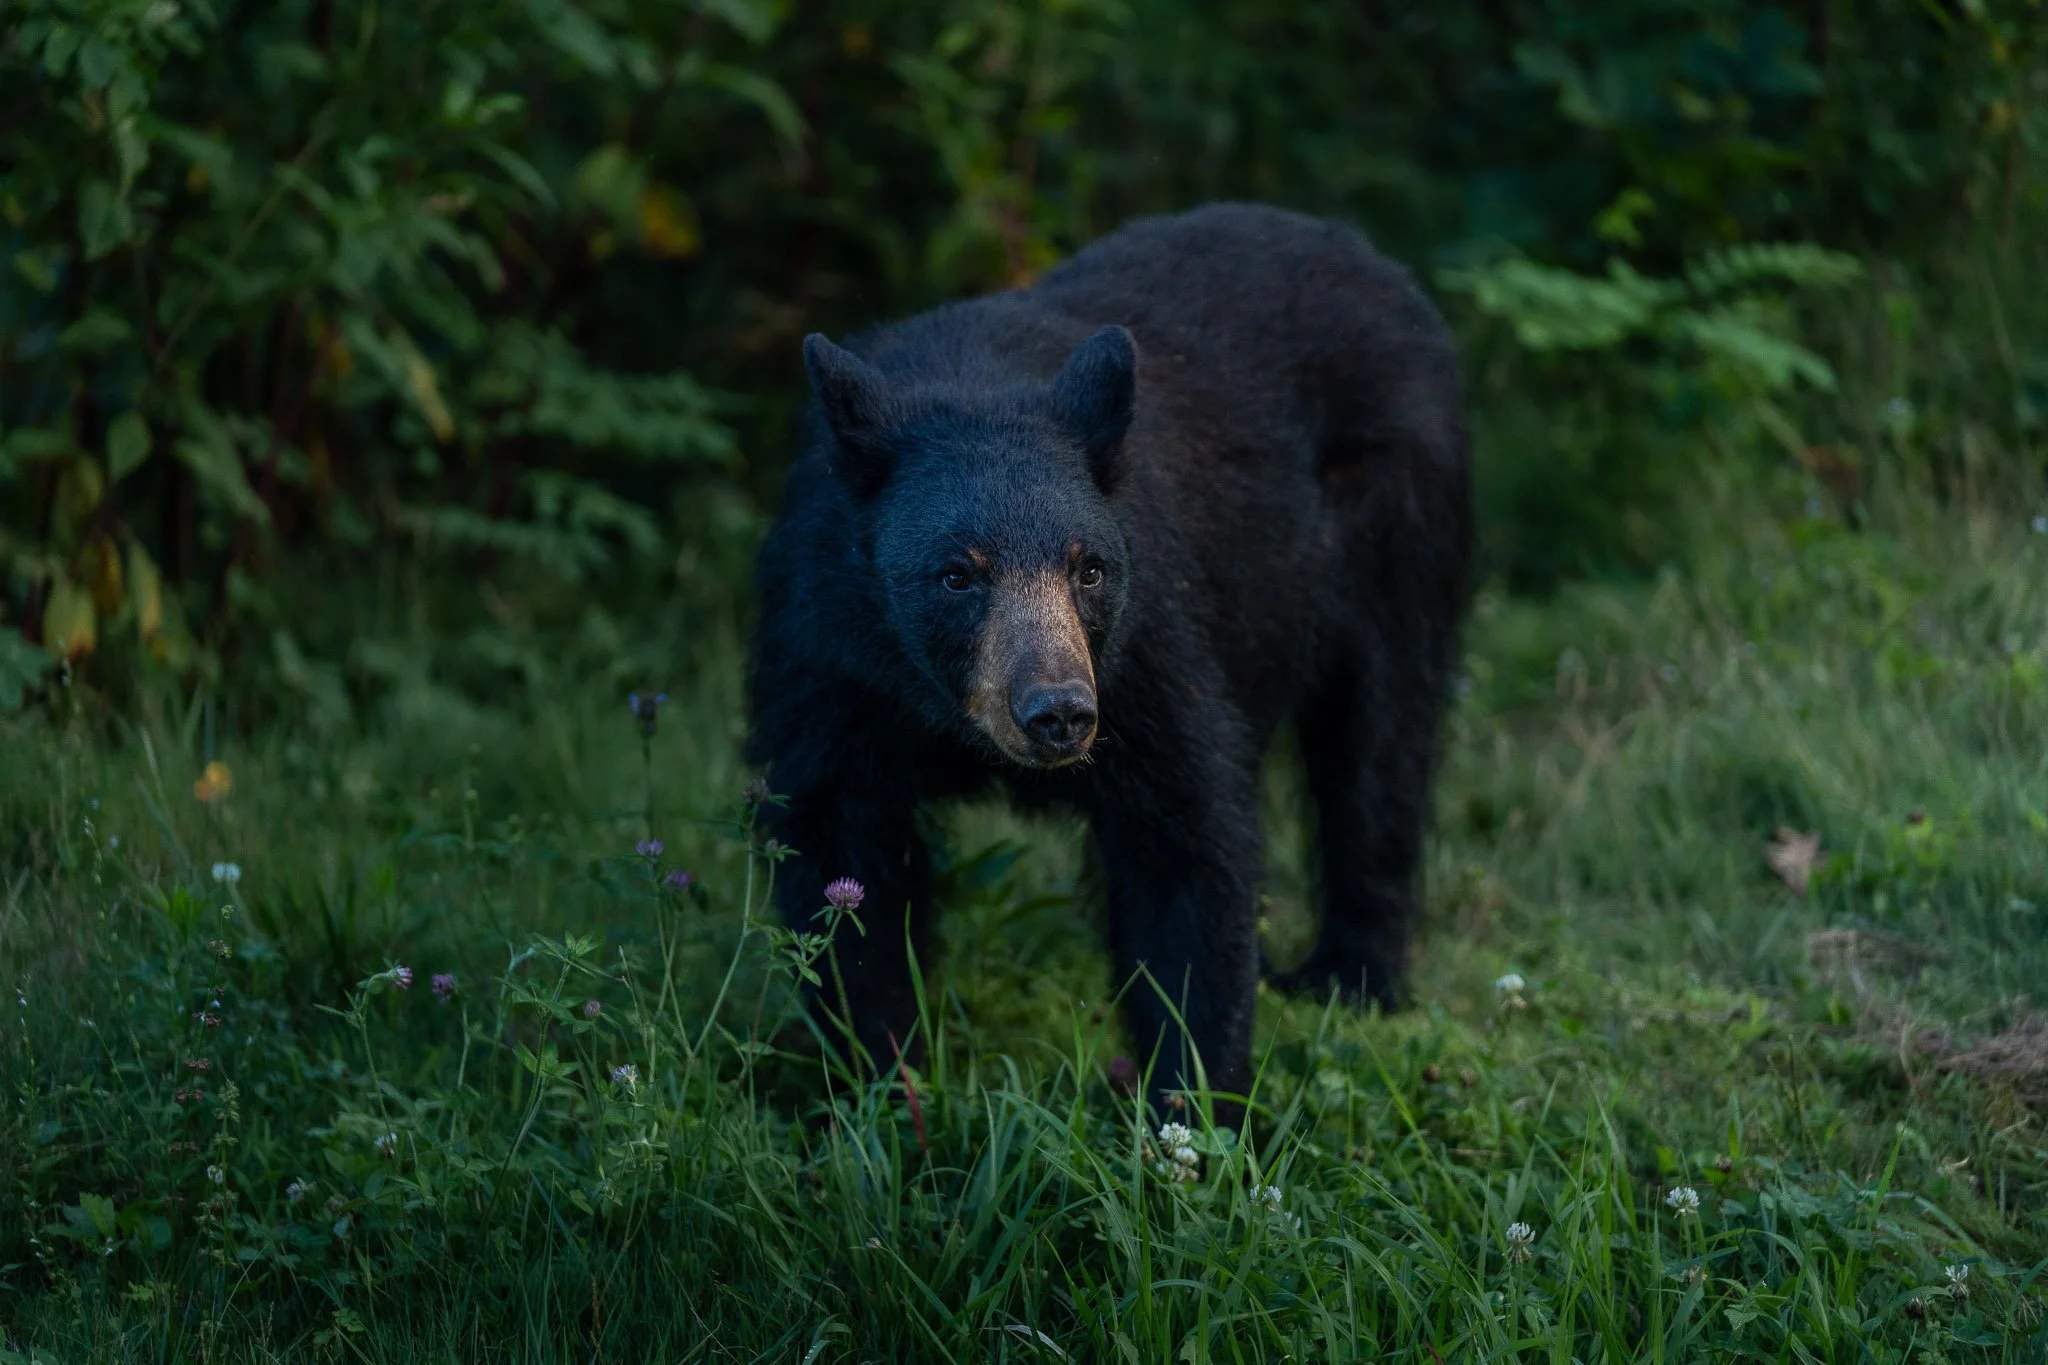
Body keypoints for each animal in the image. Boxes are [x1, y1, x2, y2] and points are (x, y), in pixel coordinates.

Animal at [747, 202, 1471, 1109]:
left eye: (1088, 566)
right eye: (957, 573)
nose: (1057, 711)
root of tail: (1368, 254)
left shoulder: (1145, 649)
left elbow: (1188, 843)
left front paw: (1193, 1102)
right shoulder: (828, 654)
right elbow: (839, 852)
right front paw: (874, 1080)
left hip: (1397, 525)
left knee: (1379, 743)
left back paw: (1350, 975)